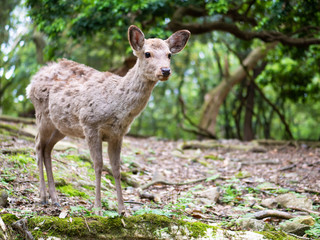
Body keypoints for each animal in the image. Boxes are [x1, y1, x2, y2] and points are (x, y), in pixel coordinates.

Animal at [26, 25, 190, 215]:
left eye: (169, 54)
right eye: (147, 53)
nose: (165, 70)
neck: (117, 105)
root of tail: (32, 81)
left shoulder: (118, 133)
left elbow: (116, 168)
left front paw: (122, 210)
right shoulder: (89, 123)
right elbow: (98, 165)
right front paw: (98, 208)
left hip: (61, 126)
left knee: (47, 148)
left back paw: (55, 199)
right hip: (42, 114)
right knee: (38, 144)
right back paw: (43, 197)